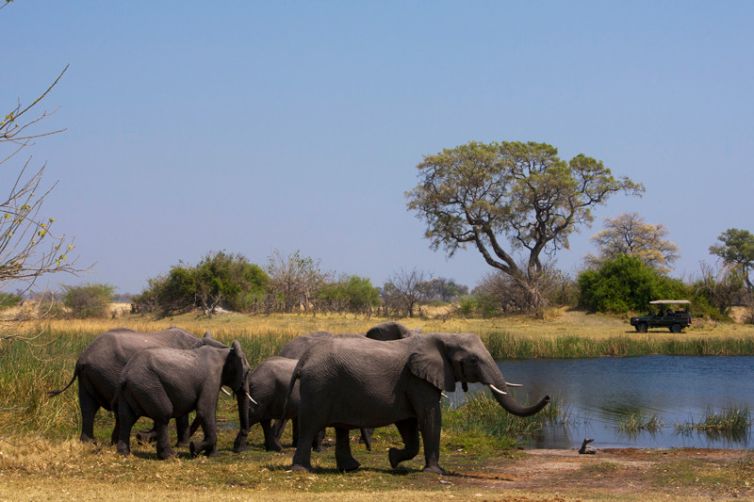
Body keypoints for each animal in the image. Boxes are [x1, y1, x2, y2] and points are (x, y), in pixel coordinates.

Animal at [49, 327, 226, 445]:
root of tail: (82, 358)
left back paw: (90, 442)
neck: (196, 340)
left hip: (88, 376)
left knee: (88, 407)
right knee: (115, 409)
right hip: (109, 372)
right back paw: (113, 442)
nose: (142, 436)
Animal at [114, 340, 251, 459]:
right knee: (164, 415)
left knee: (126, 418)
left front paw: (210, 455)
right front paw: (194, 449)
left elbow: (208, 411)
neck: (224, 351)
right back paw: (169, 456)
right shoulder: (212, 377)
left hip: (130, 390)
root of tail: (125, 374)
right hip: (149, 386)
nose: (238, 449)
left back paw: (124, 454)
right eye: (248, 371)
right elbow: (205, 410)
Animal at [287, 332, 550, 473]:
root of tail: (304, 359)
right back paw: (302, 469)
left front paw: (393, 459)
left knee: (341, 428)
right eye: (474, 360)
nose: (548, 396)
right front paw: (436, 472)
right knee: (310, 425)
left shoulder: (409, 384)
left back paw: (351, 468)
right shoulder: (416, 379)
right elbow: (429, 416)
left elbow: (409, 424)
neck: (444, 337)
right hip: (319, 385)